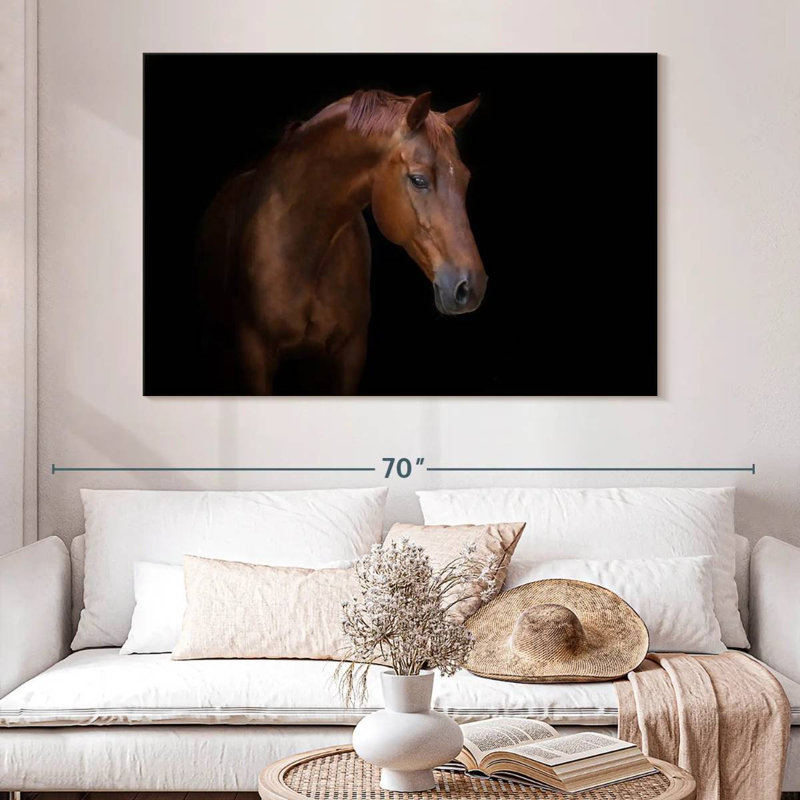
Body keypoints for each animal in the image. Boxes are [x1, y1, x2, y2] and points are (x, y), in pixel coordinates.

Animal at [198, 90, 486, 395]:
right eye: (418, 179)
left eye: (466, 179)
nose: (471, 286)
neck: (304, 246)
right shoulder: (254, 355)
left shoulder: (348, 354)